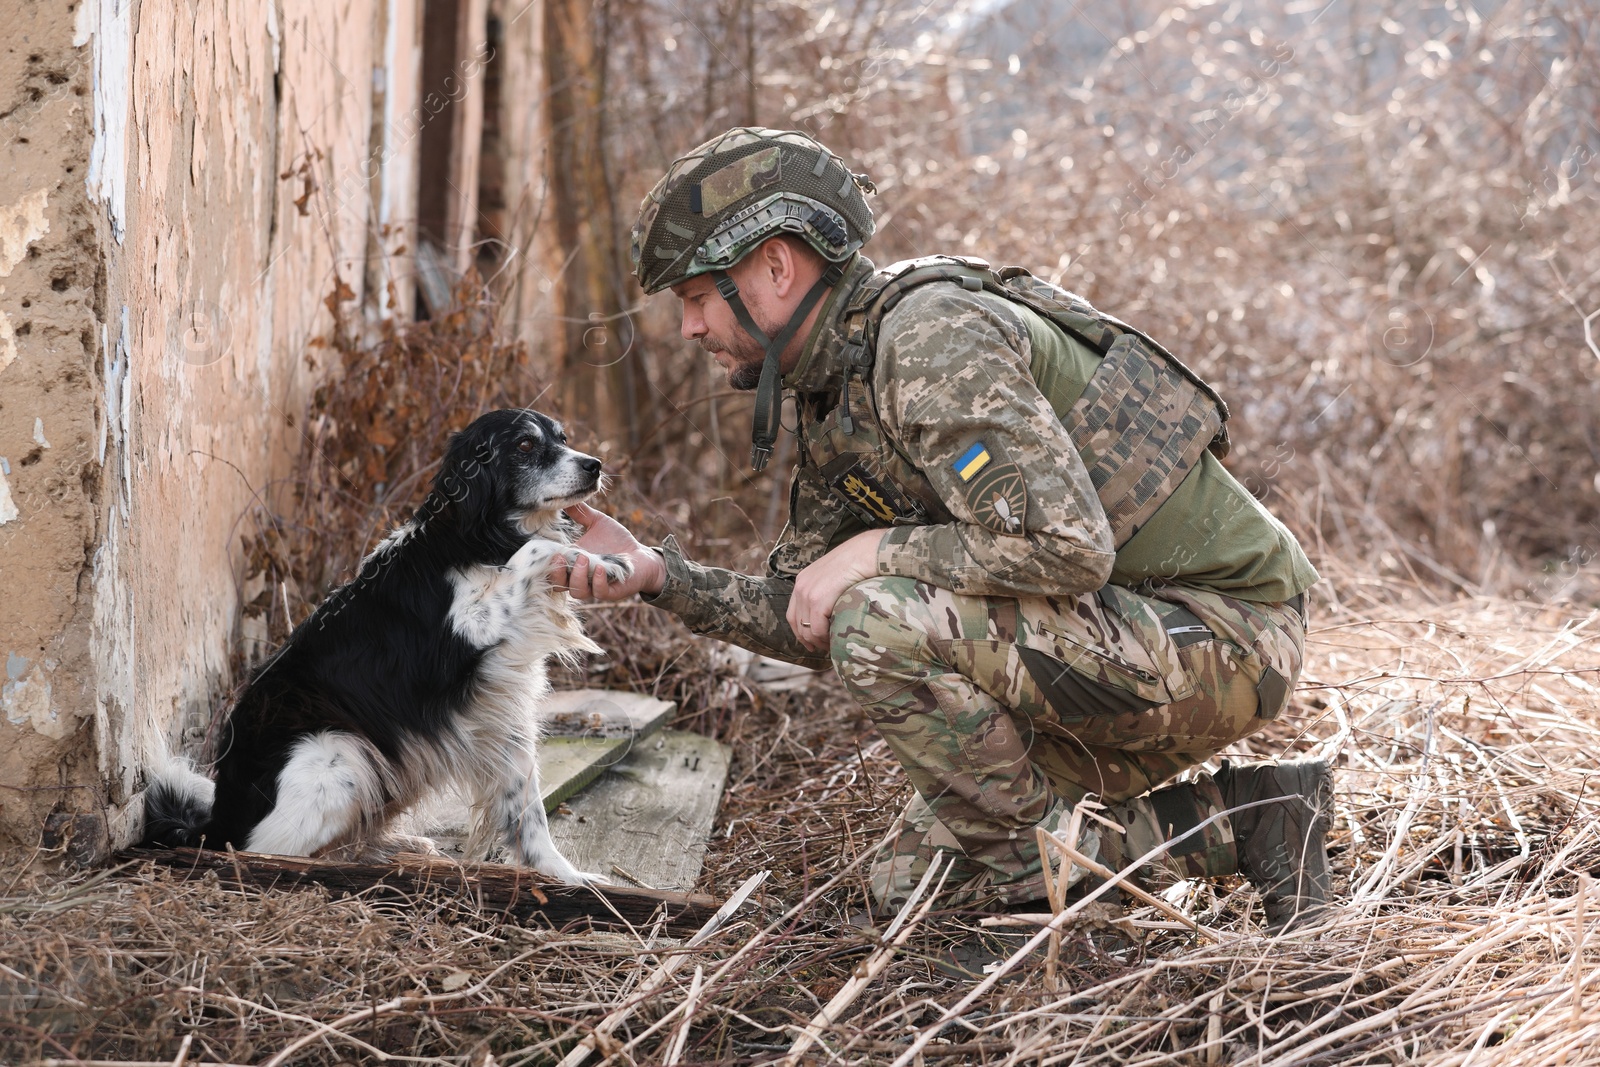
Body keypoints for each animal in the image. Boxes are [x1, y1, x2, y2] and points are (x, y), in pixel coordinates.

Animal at [144, 409, 627, 883]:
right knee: (265, 851)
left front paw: (568, 877)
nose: (595, 465)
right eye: (525, 445)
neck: (478, 537)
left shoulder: (503, 713)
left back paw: (399, 847)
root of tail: (214, 823)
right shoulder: (465, 636)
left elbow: (530, 817)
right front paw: (601, 558)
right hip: (339, 752)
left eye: (563, 439)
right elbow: (536, 549)